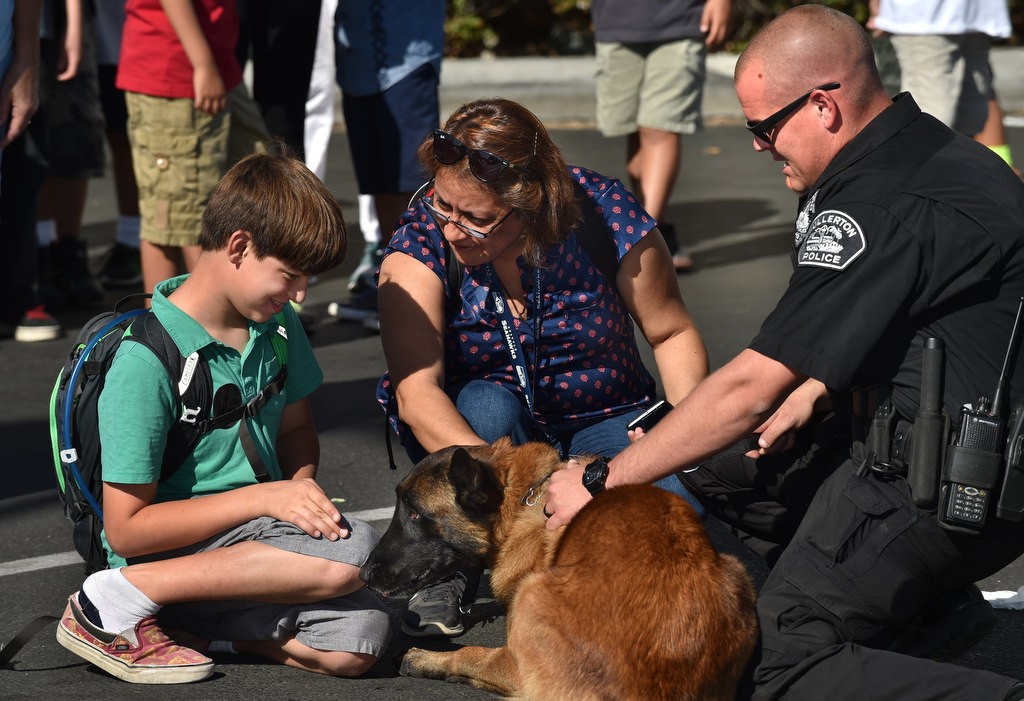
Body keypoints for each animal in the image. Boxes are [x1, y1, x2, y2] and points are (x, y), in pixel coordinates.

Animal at [362, 440, 761, 695]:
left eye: (416, 514)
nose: (363, 575)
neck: (522, 501)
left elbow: (472, 654)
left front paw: (422, 659)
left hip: (532, 598)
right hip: (736, 572)